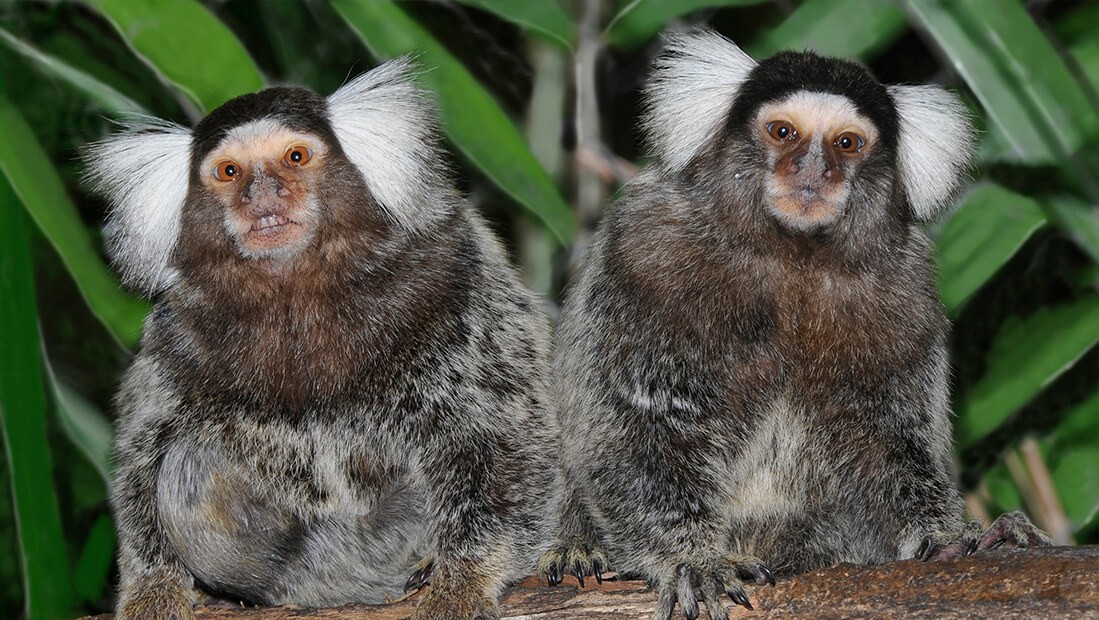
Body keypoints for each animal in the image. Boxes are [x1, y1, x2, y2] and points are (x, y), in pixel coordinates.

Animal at [85, 58, 558, 620]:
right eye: (229, 171)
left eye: (296, 156)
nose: (264, 195)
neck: (296, 297)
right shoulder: (177, 334)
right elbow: (144, 453)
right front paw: (154, 588)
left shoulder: (456, 279)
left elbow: (500, 437)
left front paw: (462, 581)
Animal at [536, 31, 1050, 615]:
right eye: (783, 132)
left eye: (847, 143)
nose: (811, 171)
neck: (792, 258)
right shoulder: (642, 252)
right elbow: (630, 428)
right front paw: (693, 558)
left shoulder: (906, 294)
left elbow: (890, 443)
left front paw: (952, 537)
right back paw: (576, 550)